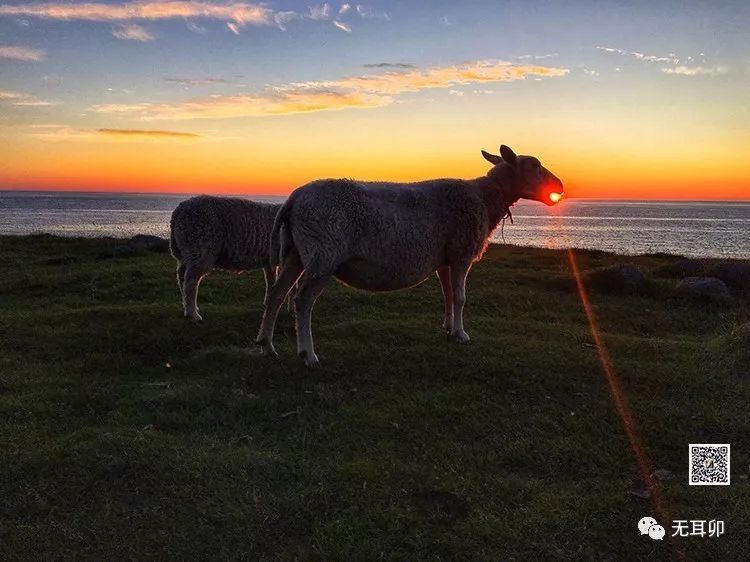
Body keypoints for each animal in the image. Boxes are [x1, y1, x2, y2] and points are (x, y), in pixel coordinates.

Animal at [254, 144, 564, 364]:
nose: (560, 187)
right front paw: (462, 334)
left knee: (276, 295)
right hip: (323, 254)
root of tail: (293, 199)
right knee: (302, 301)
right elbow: (460, 297)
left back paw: (266, 345)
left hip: (295, 253)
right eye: (535, 165)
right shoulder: (461, 251)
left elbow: (448, 294)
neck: (486, 198)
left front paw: (448, 327)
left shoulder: (445, 258)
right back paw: (307, 354)